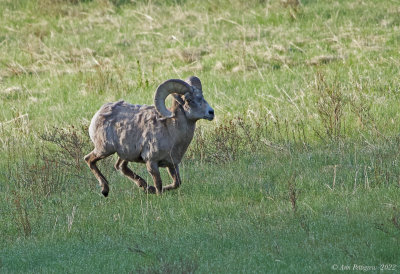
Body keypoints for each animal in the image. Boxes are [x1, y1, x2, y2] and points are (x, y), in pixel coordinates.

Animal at [84, 76, 214, 196]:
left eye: (202, 96)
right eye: (189, 99)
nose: (211, 112)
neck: (171, 131)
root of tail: (99, 113)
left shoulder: (172, 164)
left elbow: (176, 183)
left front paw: (155, 190)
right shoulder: (152, 163)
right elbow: (159, 184)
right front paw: (158, 195)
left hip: (125, 154)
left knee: (120, 166)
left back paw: (146, 187)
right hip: (104, 150)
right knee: (89, 159)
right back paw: (105, 190)